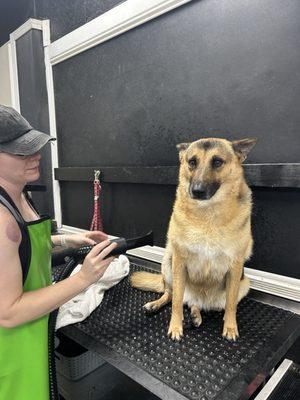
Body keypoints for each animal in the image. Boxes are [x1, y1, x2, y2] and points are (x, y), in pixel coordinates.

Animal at [131, 138, 258, 340]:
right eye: (192, 162)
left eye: (217, 162)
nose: (197, 190)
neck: (207, 214)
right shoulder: (179, 262)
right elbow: (176, 302)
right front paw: (175, 327)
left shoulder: (235, 267)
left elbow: (231, 305)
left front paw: (230, 327)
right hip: (168, 263)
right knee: (171, 294)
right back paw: (157, 305)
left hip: (243, 283)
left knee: (201, 304)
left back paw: (197, 315)